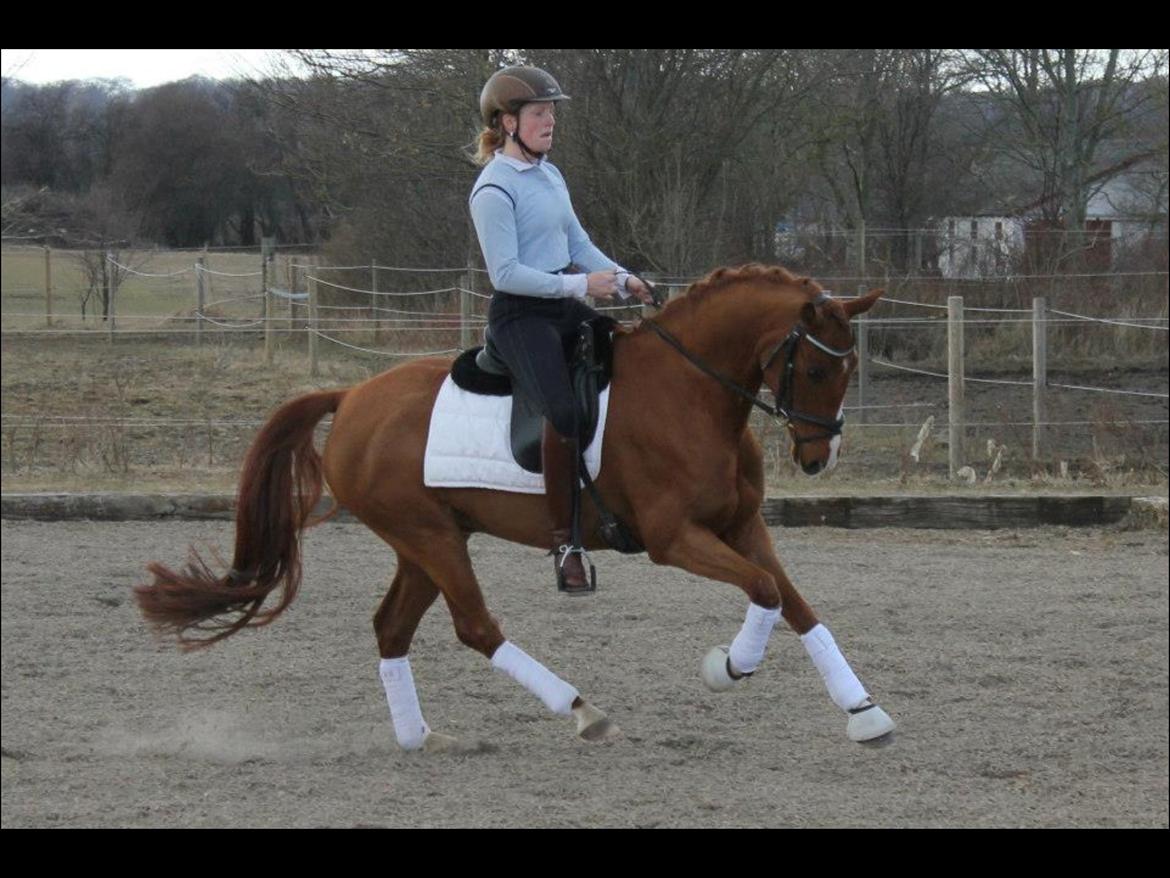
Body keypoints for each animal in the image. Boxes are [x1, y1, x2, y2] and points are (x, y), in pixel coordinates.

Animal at [136, 264, 894, 751]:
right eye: (817, 368)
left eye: (850, 368)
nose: (818, 458)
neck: (692, 394)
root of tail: (349, 398)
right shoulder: (673, 537)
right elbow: (764, 590)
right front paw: (729, 667)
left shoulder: (741, 524)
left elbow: (794, 601)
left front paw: (863, 711)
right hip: (430, 536)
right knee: (475, 626)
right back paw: (582, 711)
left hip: (427, 540)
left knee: (391, 627)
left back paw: (421, 738)